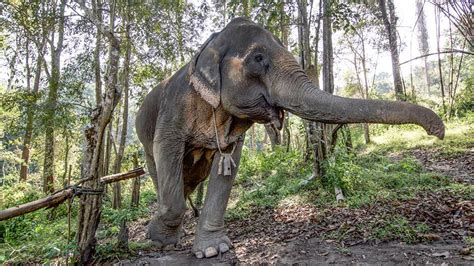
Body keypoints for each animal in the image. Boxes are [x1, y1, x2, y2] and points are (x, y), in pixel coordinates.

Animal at [134, 17, 444, 258]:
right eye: (258, 59)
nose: (438, 131)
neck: (210, 44)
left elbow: (227, 167)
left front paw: (213, 250)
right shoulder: (173, 110)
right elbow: (168, 152)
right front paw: (157, 239)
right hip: (143, 137)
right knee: (161, 173)